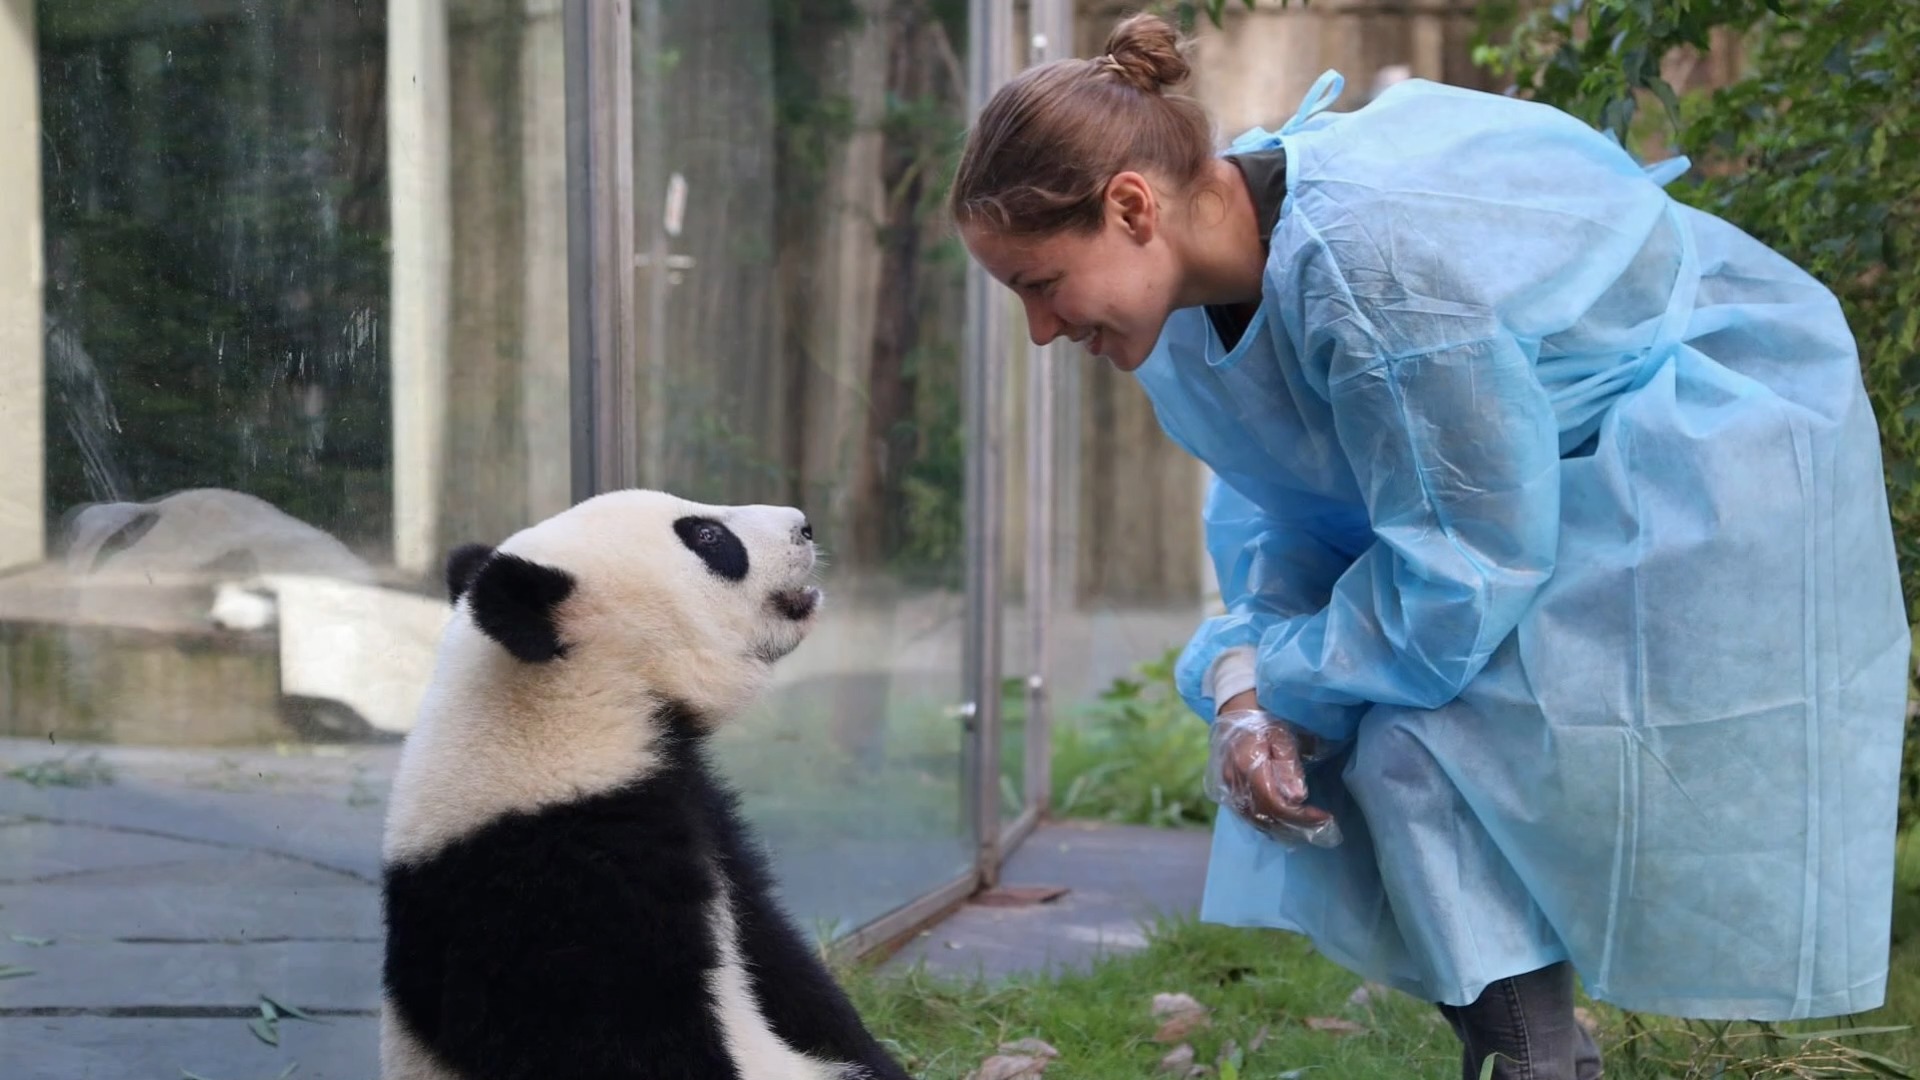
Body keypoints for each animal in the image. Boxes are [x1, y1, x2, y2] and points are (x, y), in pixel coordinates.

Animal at [378, 489, 913, 1080]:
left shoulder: (701, 821)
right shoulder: (541, 889)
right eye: (706, 536)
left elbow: (785, 966)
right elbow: (620, 1036)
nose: (804, 526)